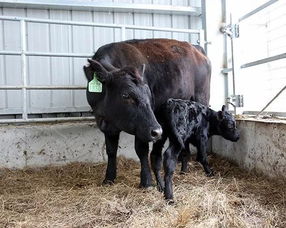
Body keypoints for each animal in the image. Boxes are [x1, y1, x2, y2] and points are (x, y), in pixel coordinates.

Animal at [84, 39, 211, 188]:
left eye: (149, 94)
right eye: (125, 95)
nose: (157, 131)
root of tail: (195, 48)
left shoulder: (144, 127)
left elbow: (141, 150)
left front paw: (146, 181)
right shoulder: (107, 125)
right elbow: (111, 151)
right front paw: (109, 178)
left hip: (201, 97)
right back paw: (183, 168)